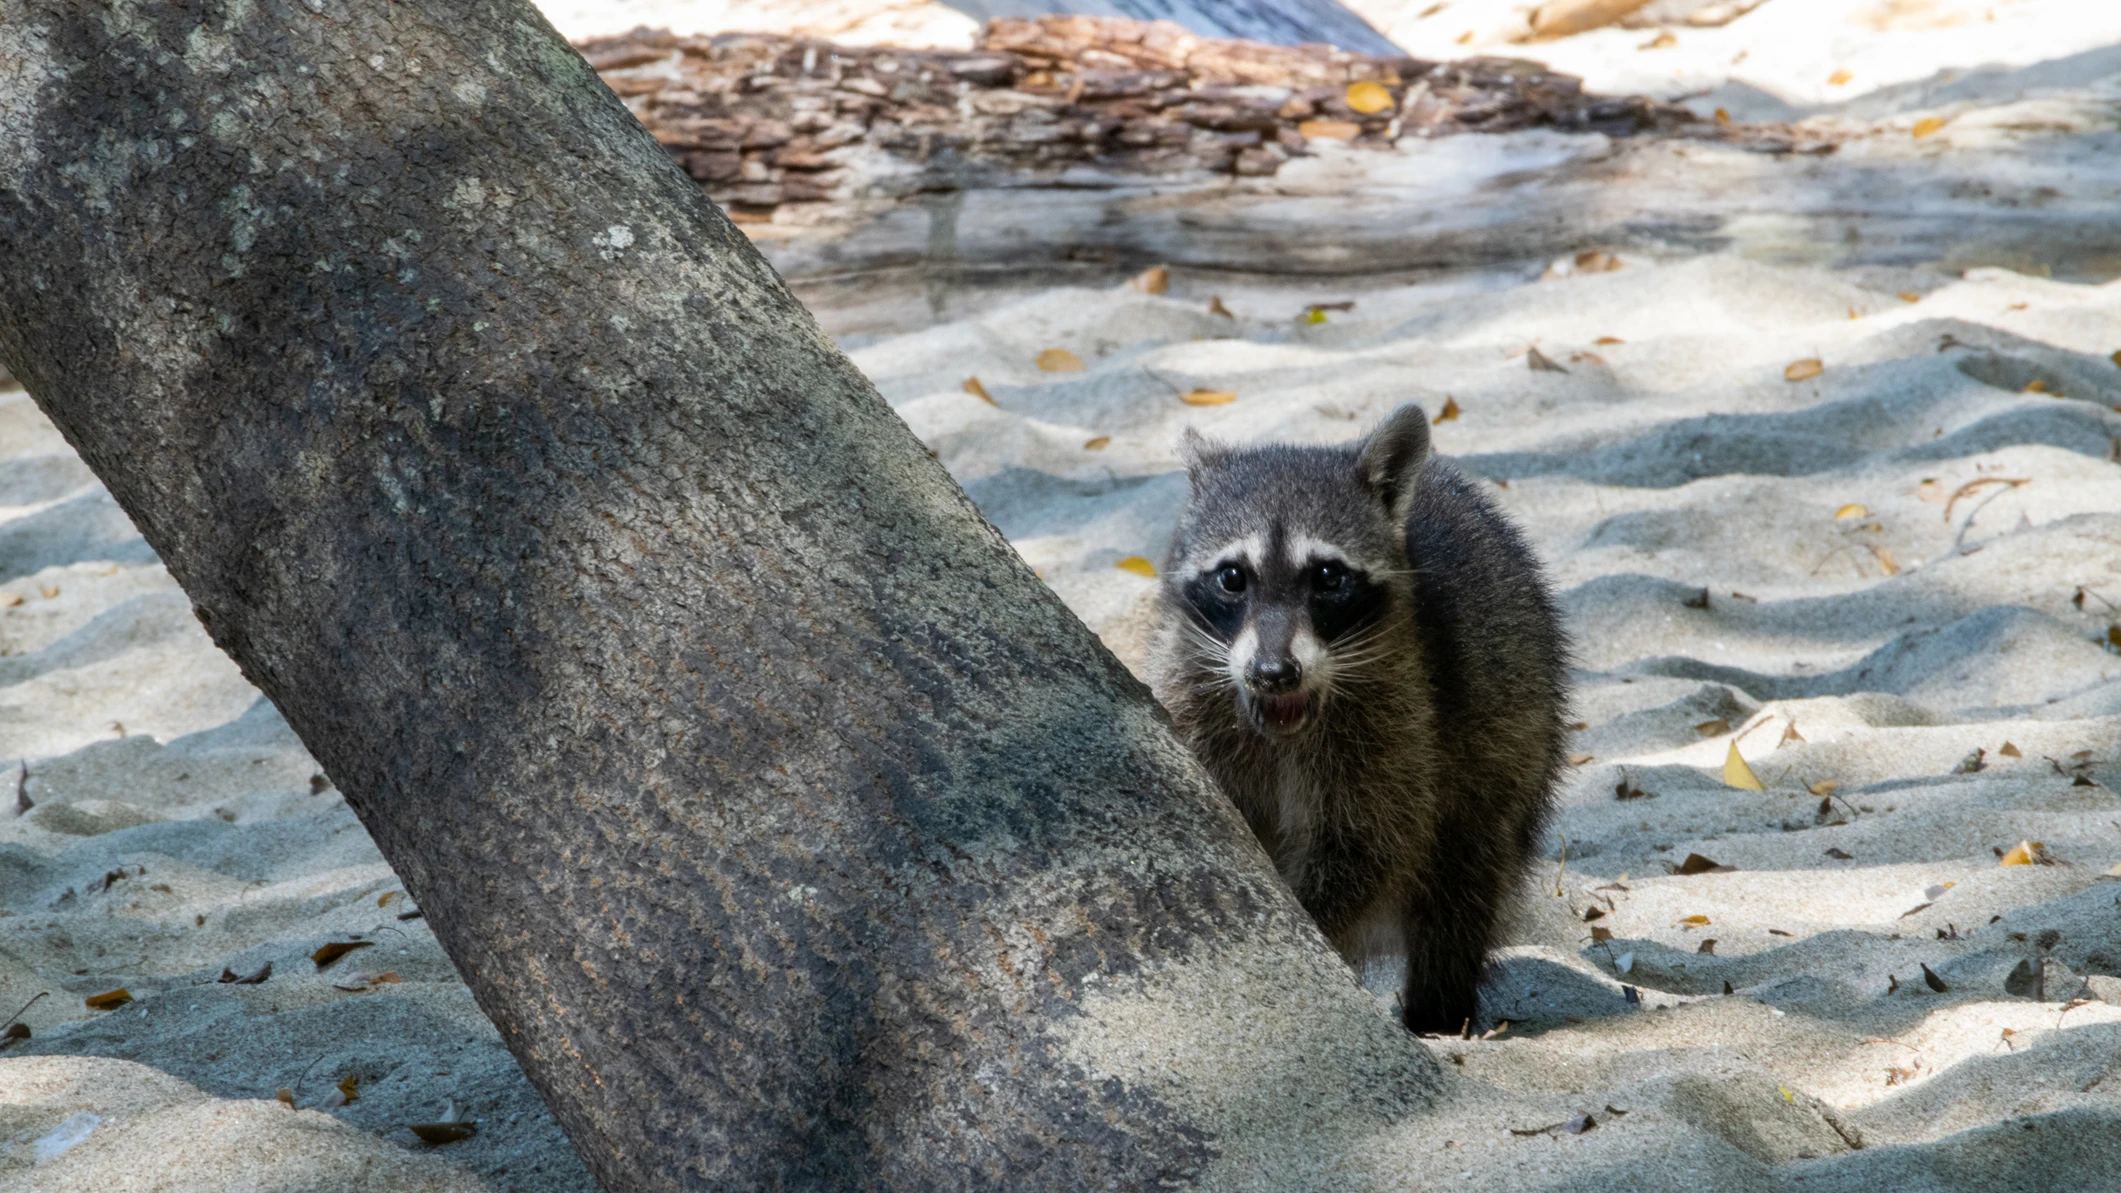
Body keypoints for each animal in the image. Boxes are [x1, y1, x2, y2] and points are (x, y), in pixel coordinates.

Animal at [1148, 403, 1569, 1034]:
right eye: (1232, 577)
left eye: (1327, 578)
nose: (1274, 672)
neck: (1287, 728)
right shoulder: (1191, 688)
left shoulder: (1403, 716)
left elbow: (1369, 844)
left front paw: (1309, 923)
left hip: (1510, 733)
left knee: (1463, 880)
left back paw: (1439, 1008)